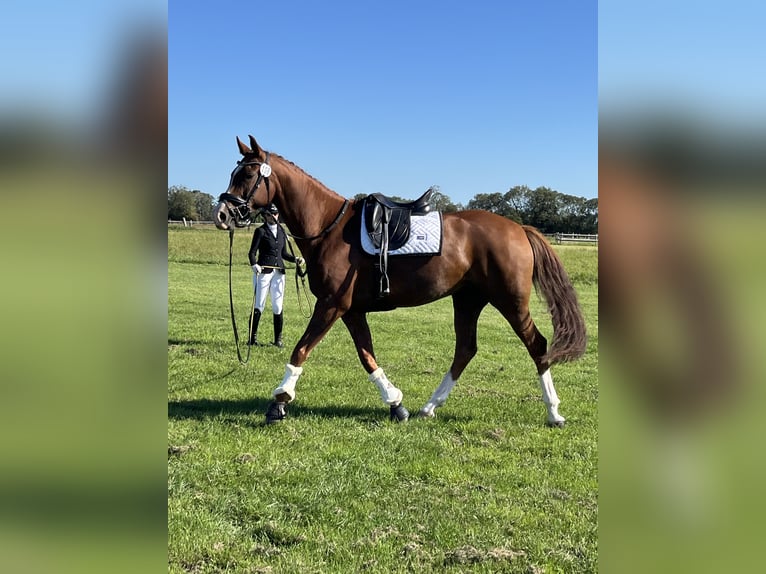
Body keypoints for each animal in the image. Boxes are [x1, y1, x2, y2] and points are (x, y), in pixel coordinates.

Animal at [213, 135, 587, 426]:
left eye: (248, 174)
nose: (222, 214)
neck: (329, 228)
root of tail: (518, 228)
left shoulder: (331, 305)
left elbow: (301, 349)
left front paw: (279, 401)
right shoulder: (350, 311)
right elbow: (367, 355)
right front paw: (395, 403)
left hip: (510, 300)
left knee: (537, 345)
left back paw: (554, 412)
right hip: (468, 300)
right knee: (465, 349)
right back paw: (429, 407)